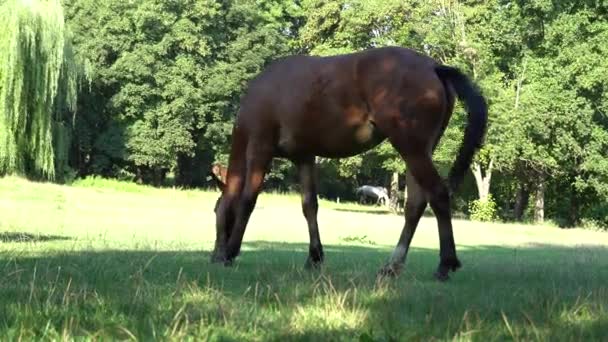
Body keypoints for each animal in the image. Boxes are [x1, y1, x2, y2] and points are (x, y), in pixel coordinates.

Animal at [211, 46, 486, 280]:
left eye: (215, 211)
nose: (213, 256)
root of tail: (434, 67)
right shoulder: (304, 157)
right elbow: (309, 206)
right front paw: (315, 256)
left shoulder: (260, 147)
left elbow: (248, 199)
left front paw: (230, 251)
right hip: (421, 150)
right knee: (416, 204)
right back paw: (392, 265)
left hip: (411, 147)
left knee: (438, 194)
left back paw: (445, 263)